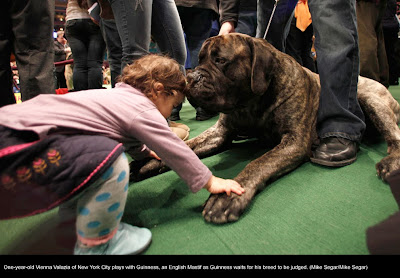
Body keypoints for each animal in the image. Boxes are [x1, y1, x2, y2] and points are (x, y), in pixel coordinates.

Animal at [130, 33, 400, 224]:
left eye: (221, 60)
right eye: (200, 60)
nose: (191, 78)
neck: (251, 102)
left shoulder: (294, 141)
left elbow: (258, 163)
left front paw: (228, 196)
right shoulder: (219, 133)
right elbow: (186, 147)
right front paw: (146, 162)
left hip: (369, 98)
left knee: (394, 136)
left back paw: (390, 164)